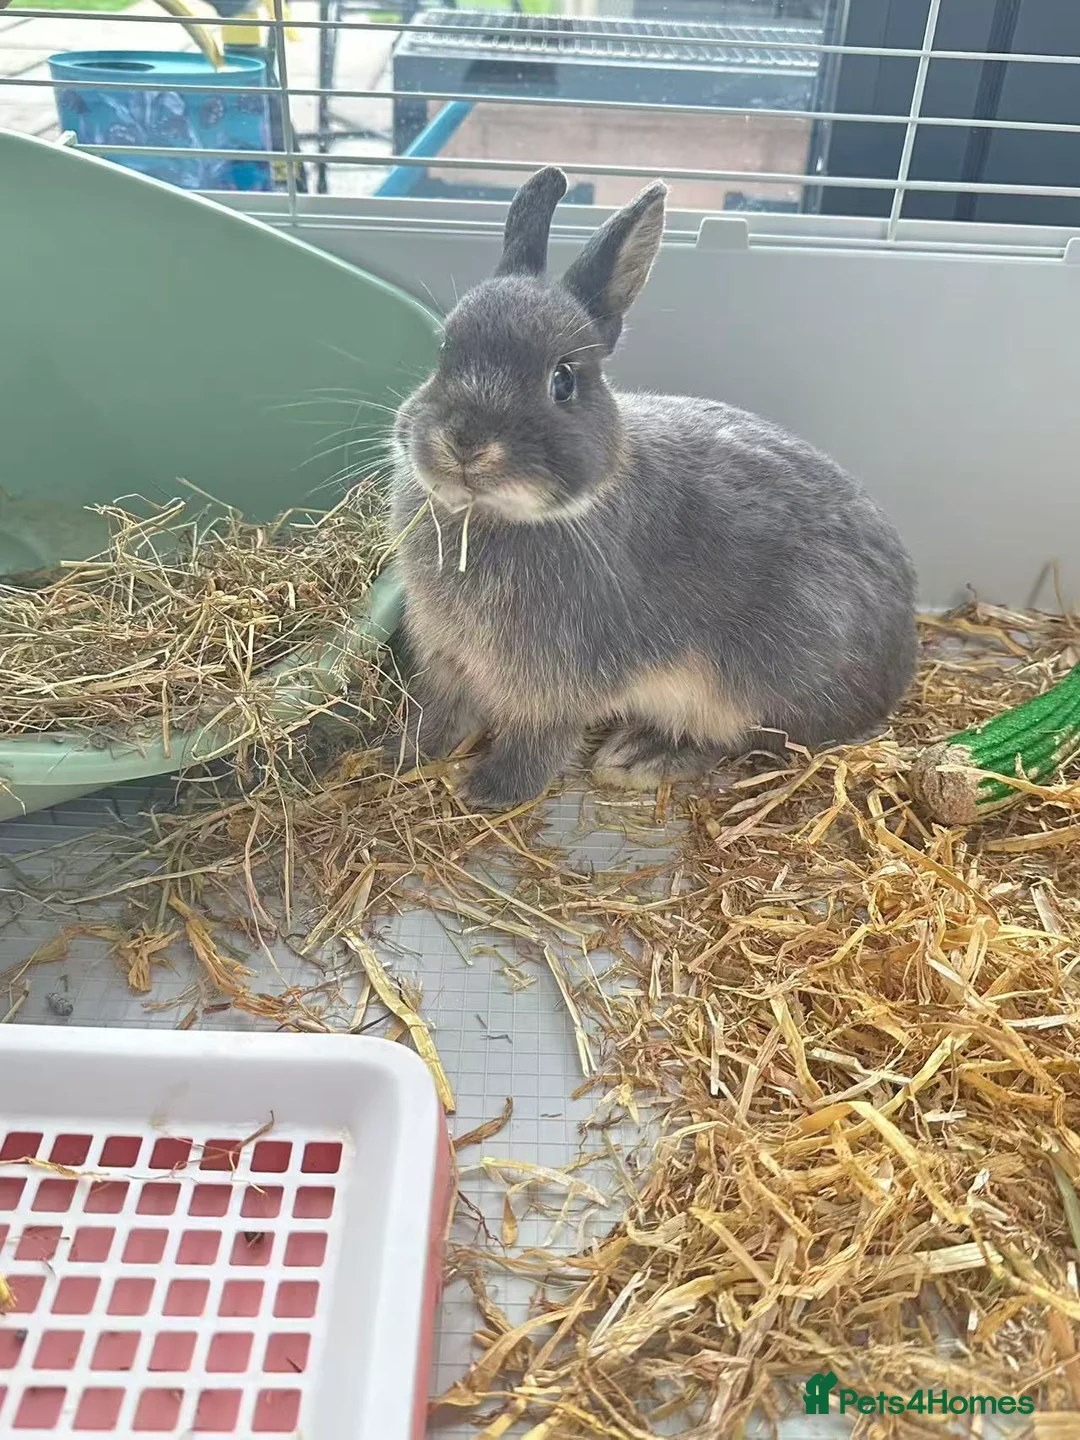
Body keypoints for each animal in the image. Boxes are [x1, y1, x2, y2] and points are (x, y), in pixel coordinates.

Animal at [387, 166, 917, 812]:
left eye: (562, 380)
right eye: (444, 351)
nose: (465, 443)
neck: (491, 517)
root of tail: (903, 658)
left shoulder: (557, 681)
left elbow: (539, 739)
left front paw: (491, 791)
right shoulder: (448, 661)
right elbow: (439, 714)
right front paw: (400, 755)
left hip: (759, 684)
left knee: (749, 743)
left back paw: (640, 756)